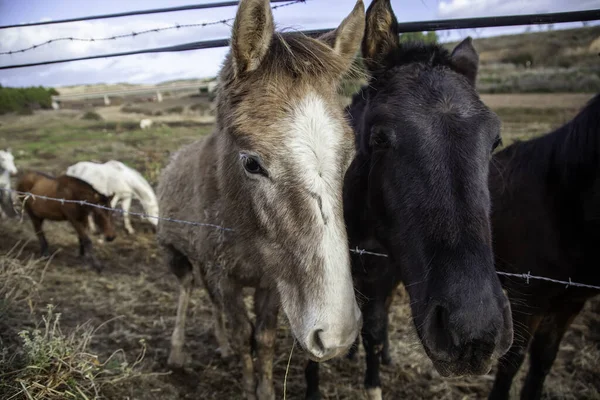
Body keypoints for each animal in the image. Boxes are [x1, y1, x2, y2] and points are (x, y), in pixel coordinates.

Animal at [156, 0, 366, 400]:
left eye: (350, 157)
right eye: (252, 163)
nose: (335, 335)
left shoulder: (271, 282)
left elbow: (264, 339)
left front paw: (265, 389)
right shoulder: (225, 276)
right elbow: (243, 335)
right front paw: (247, 384)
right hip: (179, 257)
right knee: (186, 292)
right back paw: (175, 352)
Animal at [308, 1, 512, 398]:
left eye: (494, 141)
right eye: (379, 137)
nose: (473, 334)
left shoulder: (384, 274)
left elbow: (374, 329)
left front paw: (373, 382)